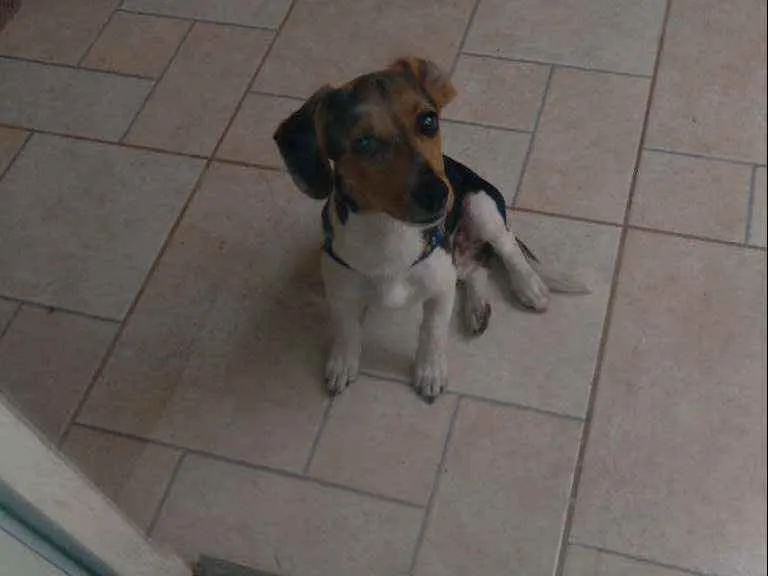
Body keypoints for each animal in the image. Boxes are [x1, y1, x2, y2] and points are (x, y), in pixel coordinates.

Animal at [274, 57, 584, 401]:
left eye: (428, 121)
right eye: (364, 142)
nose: (438, 194)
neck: (389, 232)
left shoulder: (439, 288)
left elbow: (432, 332)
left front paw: (430, 371)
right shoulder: (341, 291)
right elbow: (346, 329)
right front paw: (342, 363)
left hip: (480, 204)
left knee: (507, 247)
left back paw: (529, 286)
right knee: (477, 268)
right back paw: (476, 308)